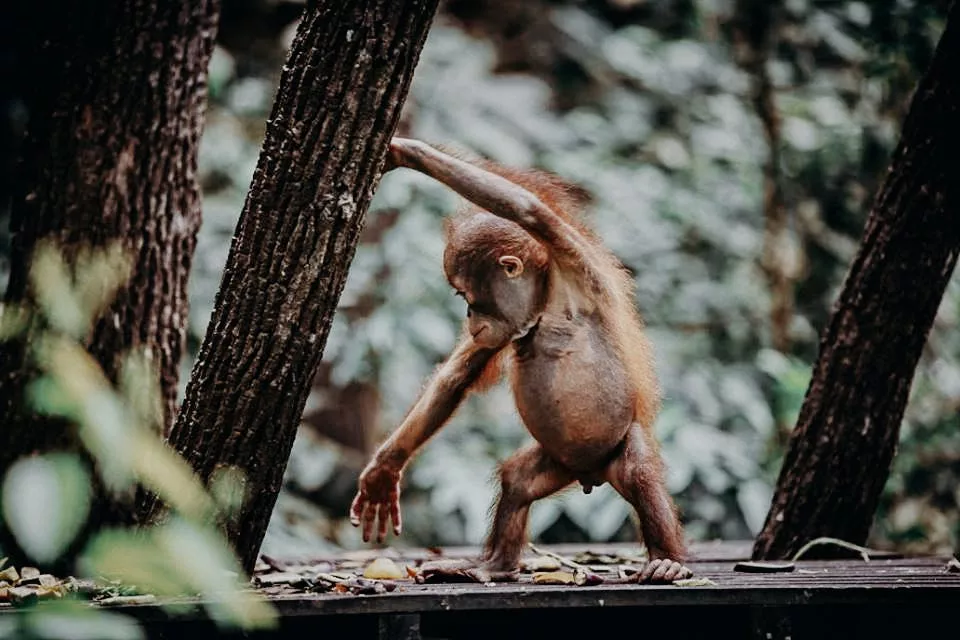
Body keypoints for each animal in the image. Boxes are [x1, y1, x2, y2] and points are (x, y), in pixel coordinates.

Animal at [350, 138, 691, 584]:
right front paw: (384, 470)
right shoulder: (501, 330)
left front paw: (407, 151)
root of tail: (592, 475)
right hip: (555, 462)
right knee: (516, 480)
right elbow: (455, 378)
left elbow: (527, 207)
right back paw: (493, 565)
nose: (469, 317)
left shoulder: (572, 261)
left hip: (619, 444)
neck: (543, 303)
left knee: (638, 471)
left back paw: (668, 561)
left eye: (466, 296)